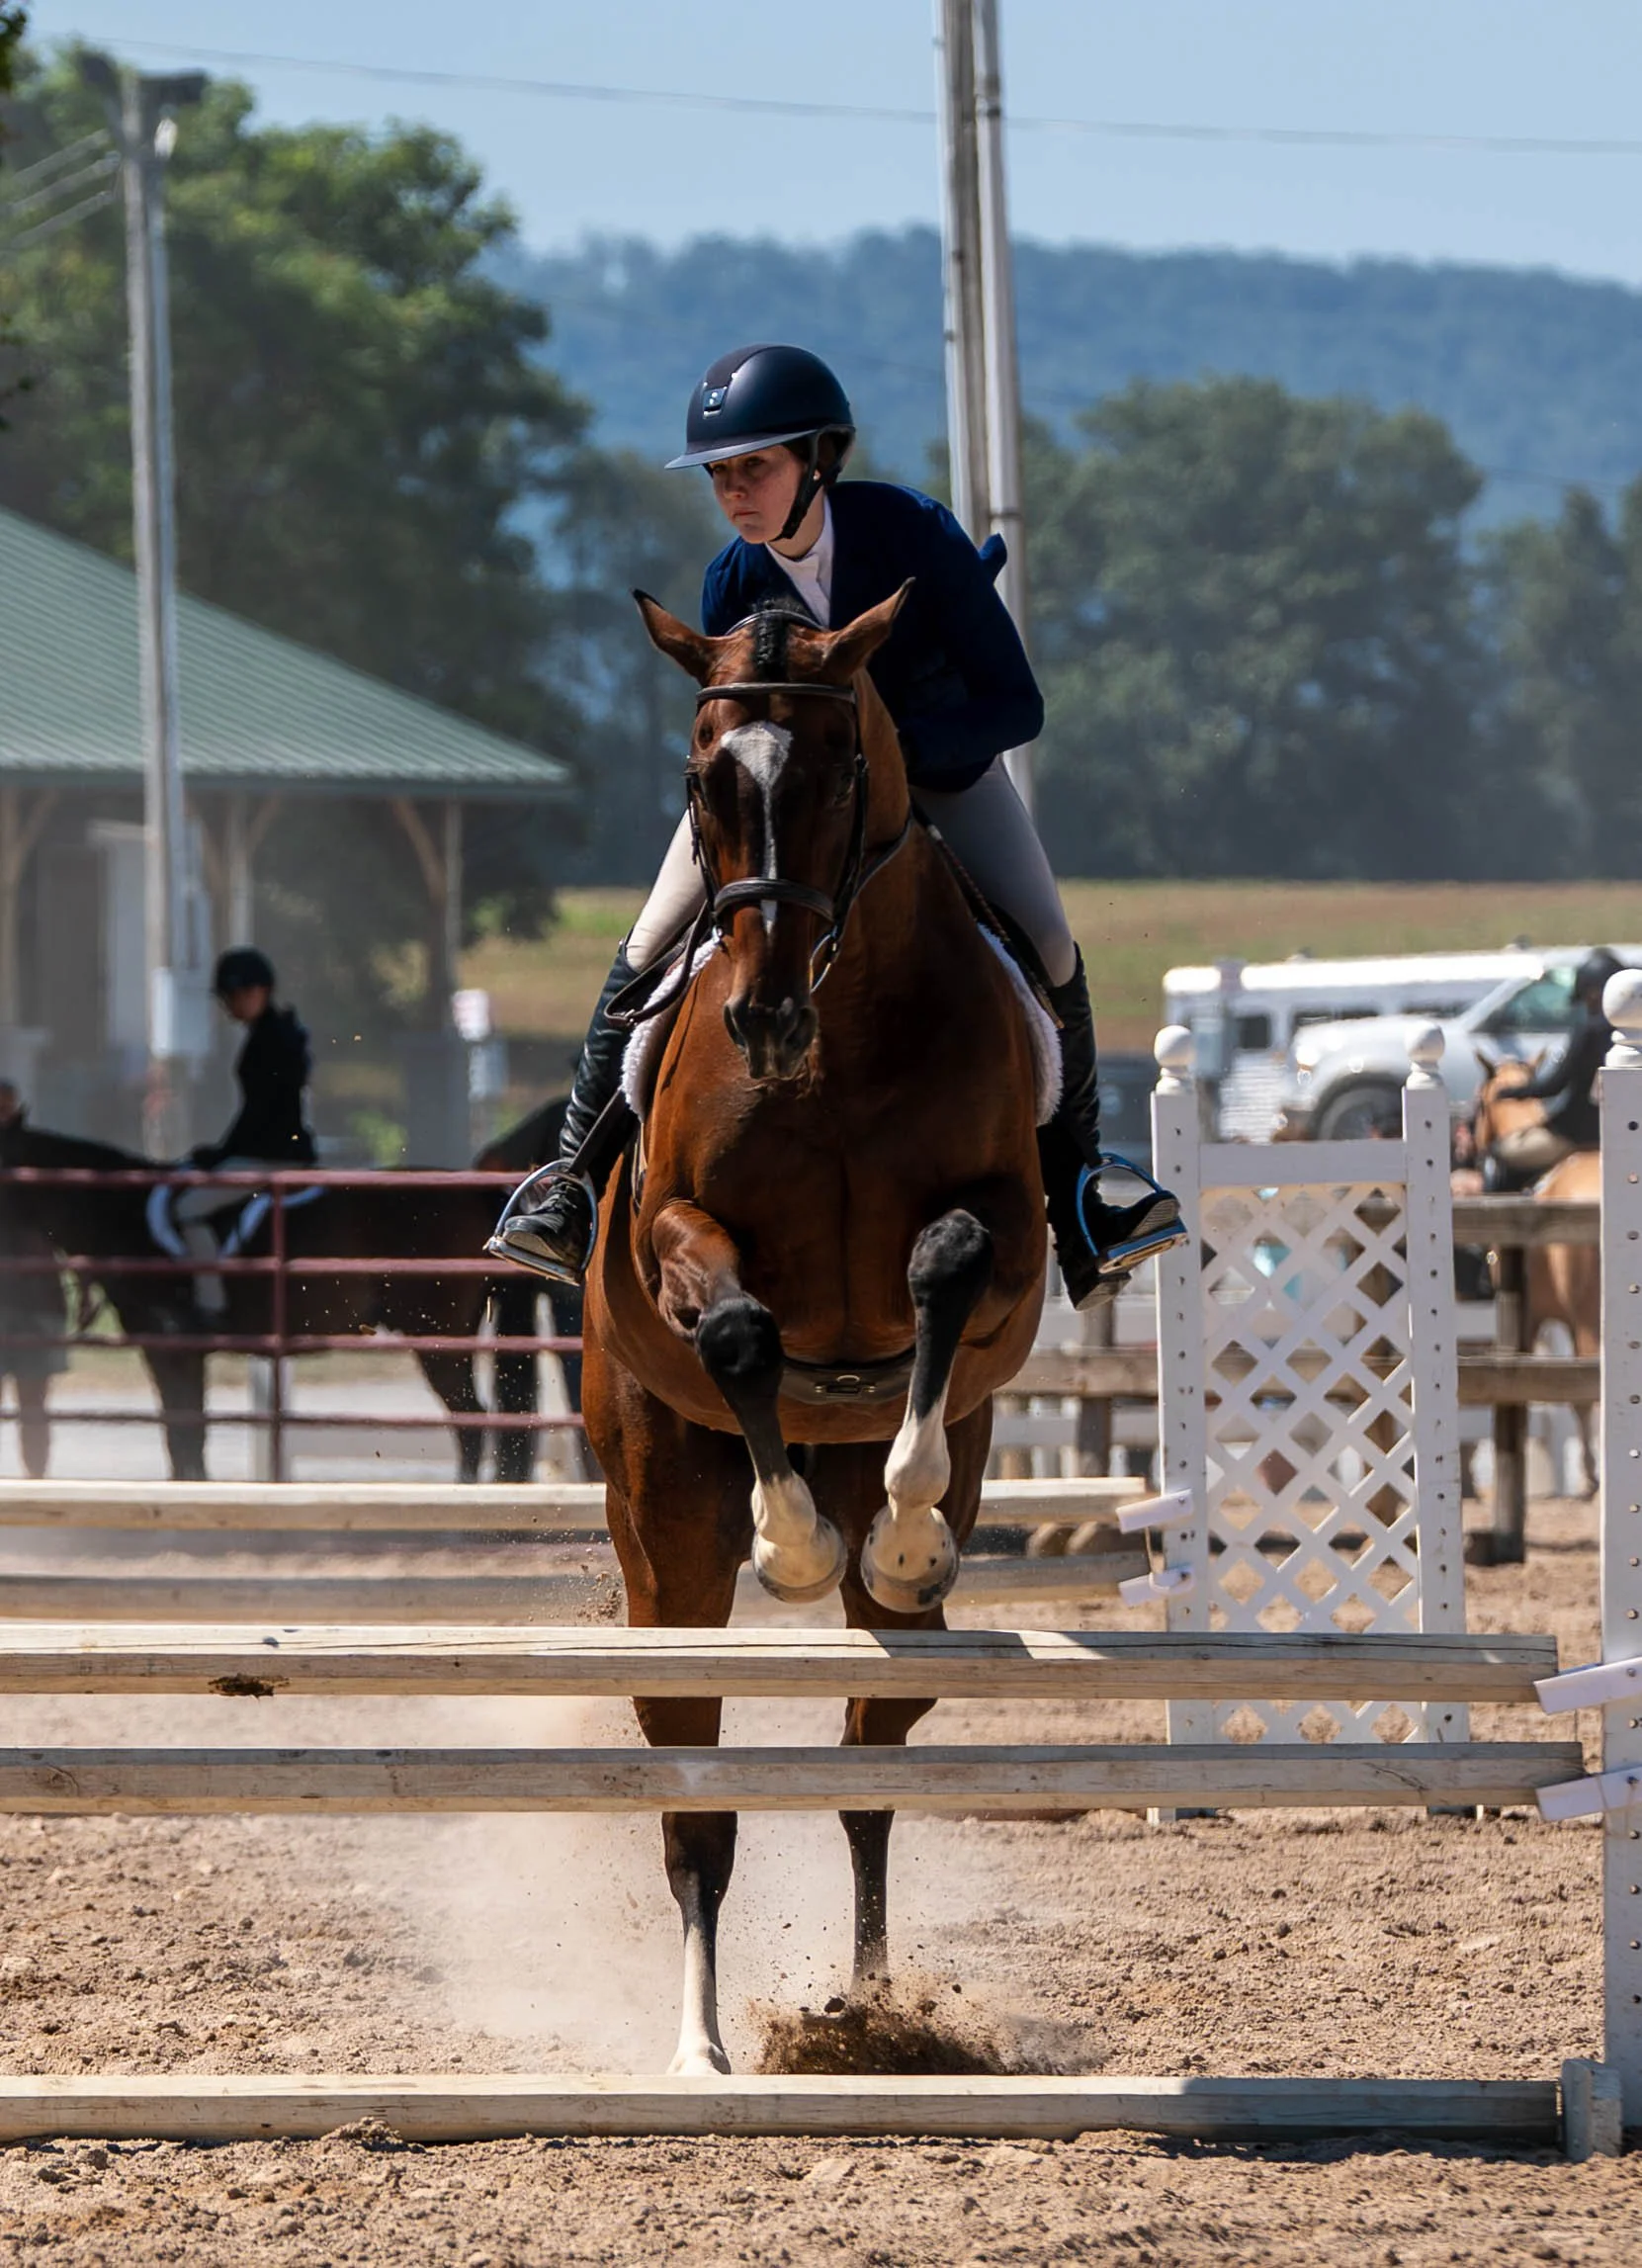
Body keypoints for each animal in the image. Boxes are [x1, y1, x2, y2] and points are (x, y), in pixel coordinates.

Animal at [0, 1121, 505, 1481]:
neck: (122, 1215)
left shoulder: (171, 1349)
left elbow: (184, 1437)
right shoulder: (179, 1354)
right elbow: (187, 1436)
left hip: (438, 1339)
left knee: (469, 1420)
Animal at [581, 590, 1048, 2075]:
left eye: (843, 774)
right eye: (701, 785)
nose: (762, 1016)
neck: (837, 1042)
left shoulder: (1014, 1227)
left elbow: (947, 1264)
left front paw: (896, 1522)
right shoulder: (672, 1227)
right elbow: (736, 1329)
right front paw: (788, 1541)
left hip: (901, 1630)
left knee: (862, 1772)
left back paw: (872, 2010)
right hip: (662, 1549)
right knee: (696, 1809)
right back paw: (699, 2047)